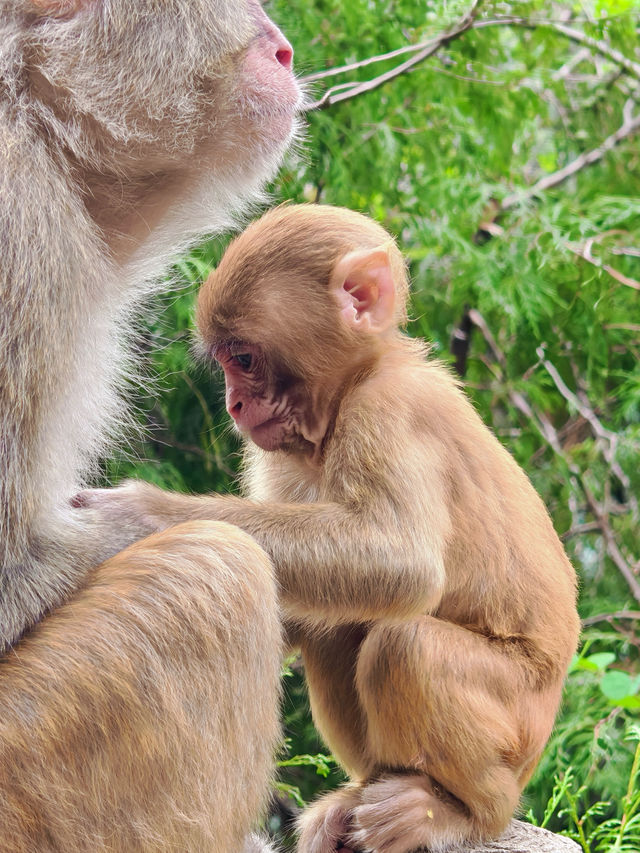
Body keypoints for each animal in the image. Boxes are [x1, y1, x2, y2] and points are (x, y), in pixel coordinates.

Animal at [91, 205, 580, 852]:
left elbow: (402, 561)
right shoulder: (276, 452)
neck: (350, 390)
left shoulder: (389, 410)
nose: (234, 405)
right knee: (339, 626)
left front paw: (137, 520)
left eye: (243, 359)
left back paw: (464, 813)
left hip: (521, 721)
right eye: (224, 362)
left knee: (405, 646)